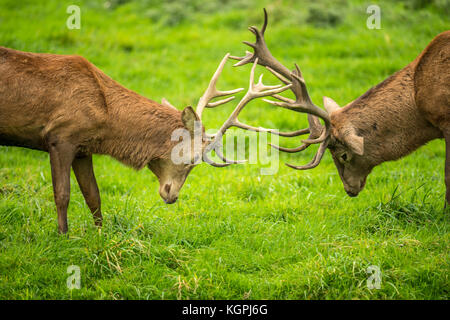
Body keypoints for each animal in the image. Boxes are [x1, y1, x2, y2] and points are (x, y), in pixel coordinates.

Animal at [0, 46, 290, 232]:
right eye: (191, 159)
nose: (172, 195)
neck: (106, 121)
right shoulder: (60, 136)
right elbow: (62, 194)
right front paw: (63, 236)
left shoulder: (83, 147)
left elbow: (93, 195)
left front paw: (99, 235)